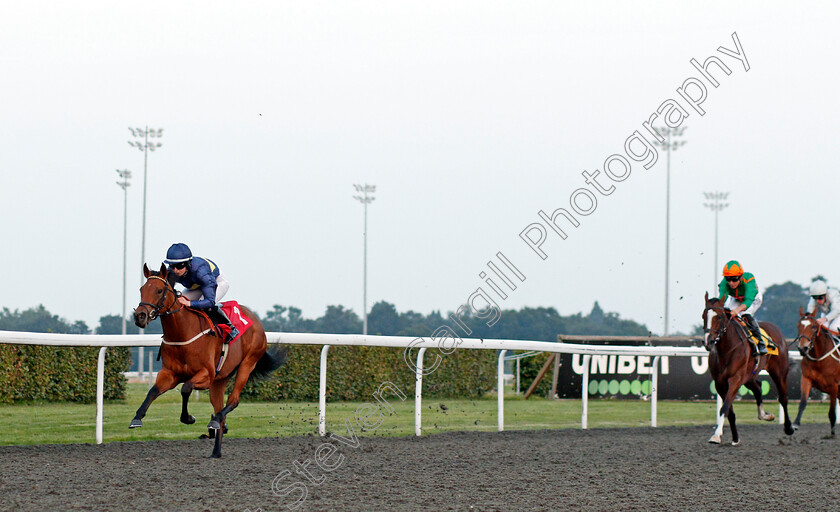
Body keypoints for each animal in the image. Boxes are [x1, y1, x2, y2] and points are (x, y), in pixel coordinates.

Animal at [131, 264, 286, 456]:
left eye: (159, 290)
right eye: (141, 289)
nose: (140, 316)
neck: (182, 333)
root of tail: (256, 321)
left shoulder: (206, 375)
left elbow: (186, 388)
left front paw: (188, 417)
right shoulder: (170, 374)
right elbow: (153, 391)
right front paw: (137, 418)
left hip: (247, 363)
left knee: (232, 401)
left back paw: (215, 422)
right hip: (220, 380)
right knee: (220, 408)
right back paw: (216, 450)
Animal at [704, 294, 796, 446]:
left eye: (719, 317)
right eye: (703, 316)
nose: (709, 342)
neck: (726, 349)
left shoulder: (735, 379)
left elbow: (725, 407)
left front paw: (716, 435)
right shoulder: (720, 383)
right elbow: (730, 411)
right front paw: (735, 438)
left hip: (779, 372)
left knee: (783, 398)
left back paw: (789, 428)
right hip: (748, 376)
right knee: (758, 387)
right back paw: (764, 415)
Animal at [796, 308, 840, 436]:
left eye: (814, 327)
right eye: (798, 326)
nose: (803, 348)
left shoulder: (834, 386)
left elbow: (832, 413)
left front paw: (832, 434)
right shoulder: (806, 379)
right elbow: (803, 403)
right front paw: (794, 425)